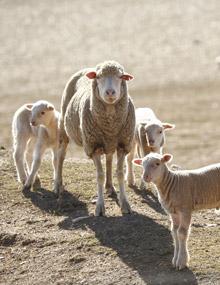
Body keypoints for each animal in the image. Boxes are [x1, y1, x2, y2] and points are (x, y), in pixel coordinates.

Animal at [55, 60, 135, 215]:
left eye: (121, 77)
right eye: (98, 77)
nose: (110, 92)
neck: (110, 123)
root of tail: (86, 69)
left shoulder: (123, 144)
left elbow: (120, 173)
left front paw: (125, 203)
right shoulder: (93, 146)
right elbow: (99, 175)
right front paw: (99, 207)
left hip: (110, 143)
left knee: (109, 159)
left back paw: (110, 186)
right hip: (63, 125)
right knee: (60, 156)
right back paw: (57, 184)